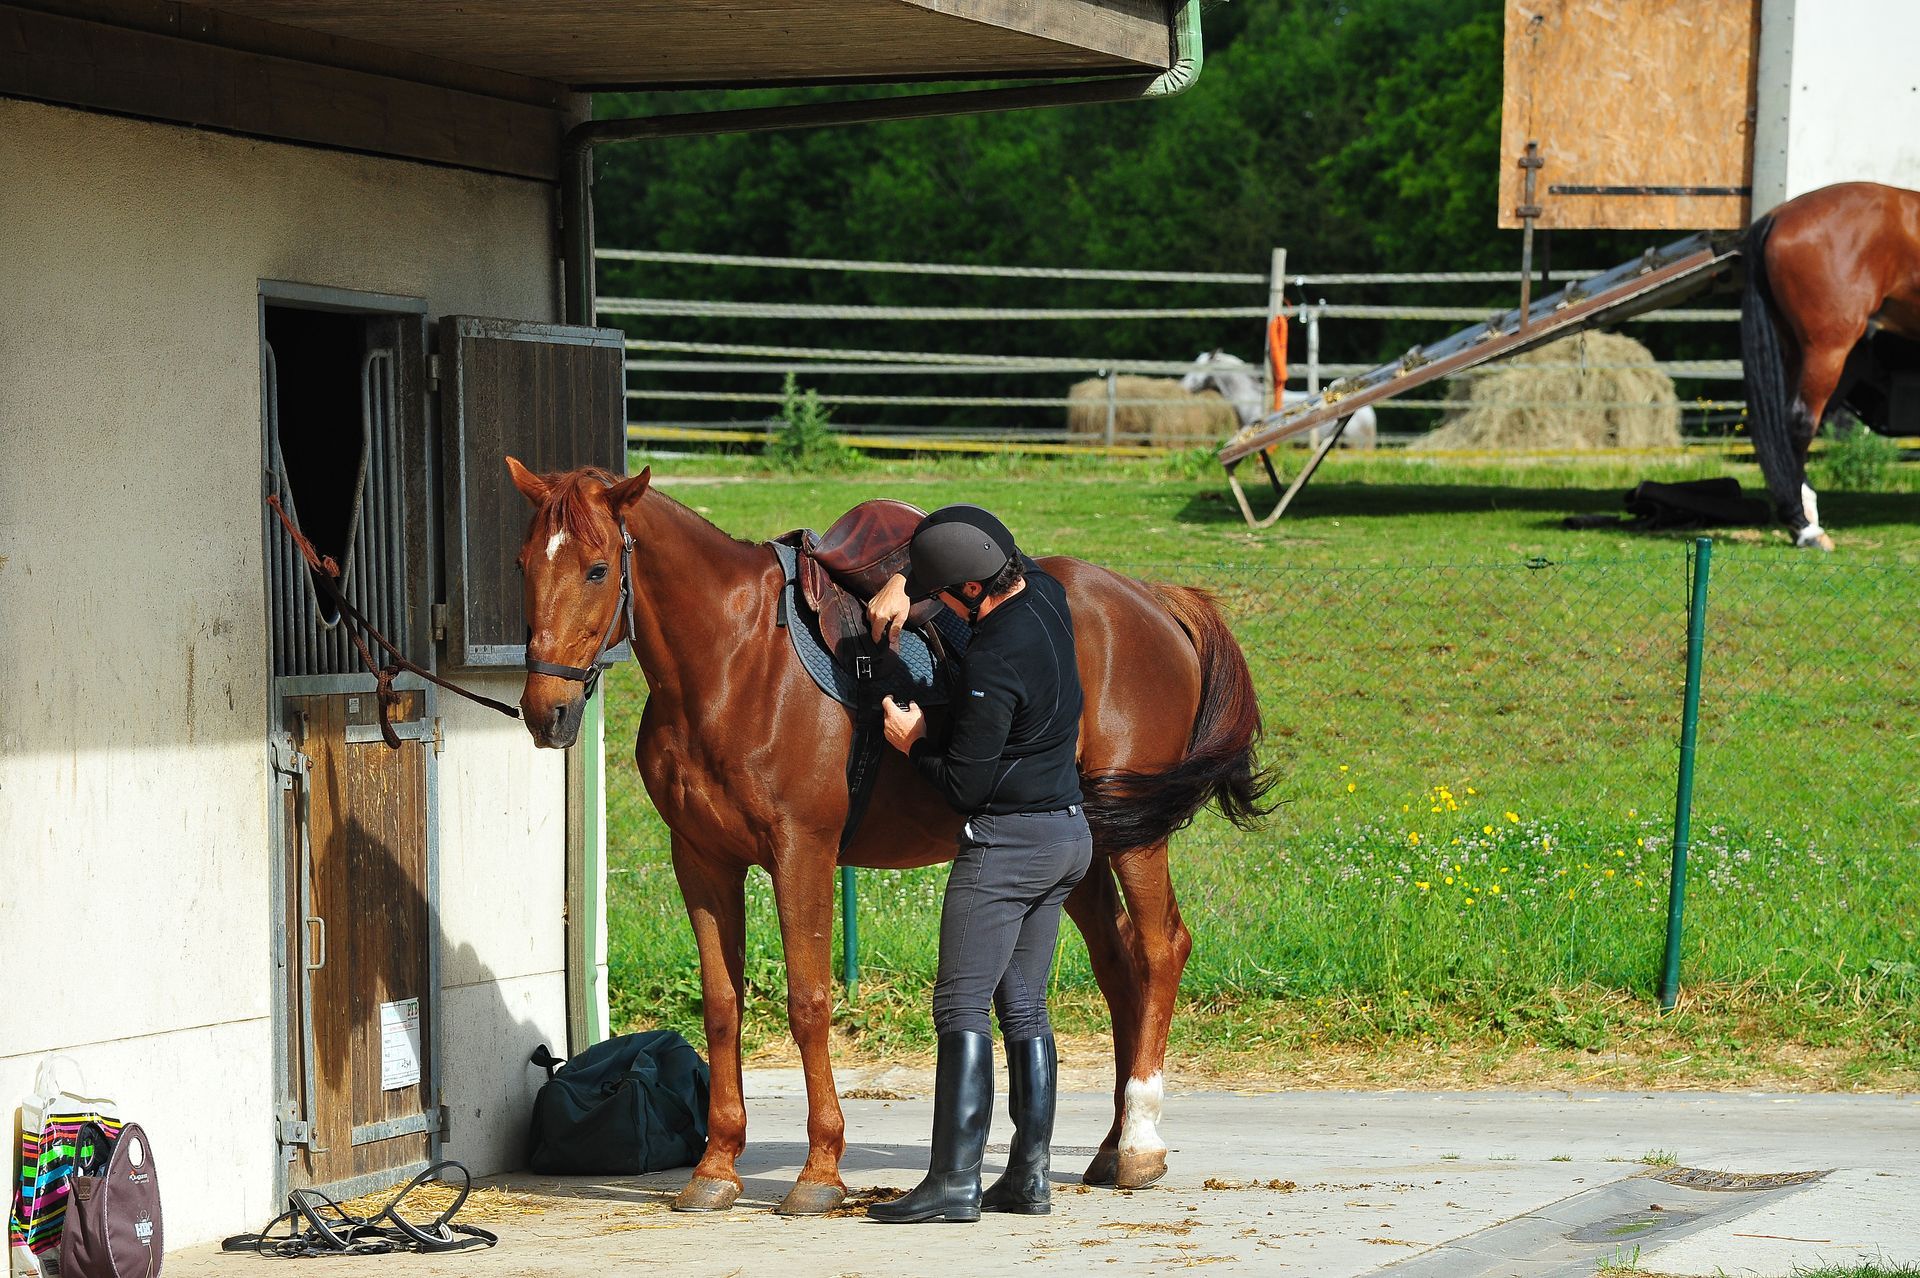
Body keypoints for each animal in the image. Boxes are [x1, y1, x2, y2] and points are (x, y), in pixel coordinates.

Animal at [506, 458, 1272, 1216]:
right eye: (522, 565)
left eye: (598, 569)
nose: (546, 712)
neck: (734, 660)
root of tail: (1153, 599)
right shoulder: (701, 862)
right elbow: (722, 1007)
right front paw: (716, 1167)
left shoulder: (802, 852)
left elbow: (808, 1002)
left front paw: (819, 1170)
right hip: (1084, 847)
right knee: (1120, 967)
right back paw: (1112, 1147)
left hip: (1135, 840)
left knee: (1161, 948)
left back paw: (1140, 1144)